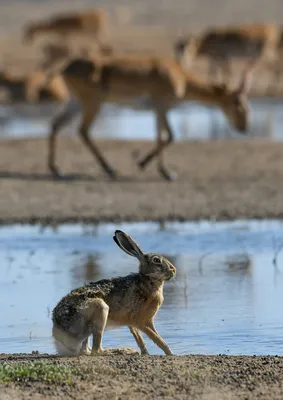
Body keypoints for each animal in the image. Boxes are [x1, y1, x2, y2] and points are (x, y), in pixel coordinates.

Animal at [45, 52, 254, 180]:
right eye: (237, 102)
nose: (244, 127)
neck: (180, 77)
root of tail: (65, 68)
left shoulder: (157, 111)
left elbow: (160, 137)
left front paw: (163, 172)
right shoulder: (162, 107)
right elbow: (170, 136)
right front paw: (146, 165)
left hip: (76, 103)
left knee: (55, 124)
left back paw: (57, 170)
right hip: (93, 104)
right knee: (83, 131)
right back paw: (110, 169)